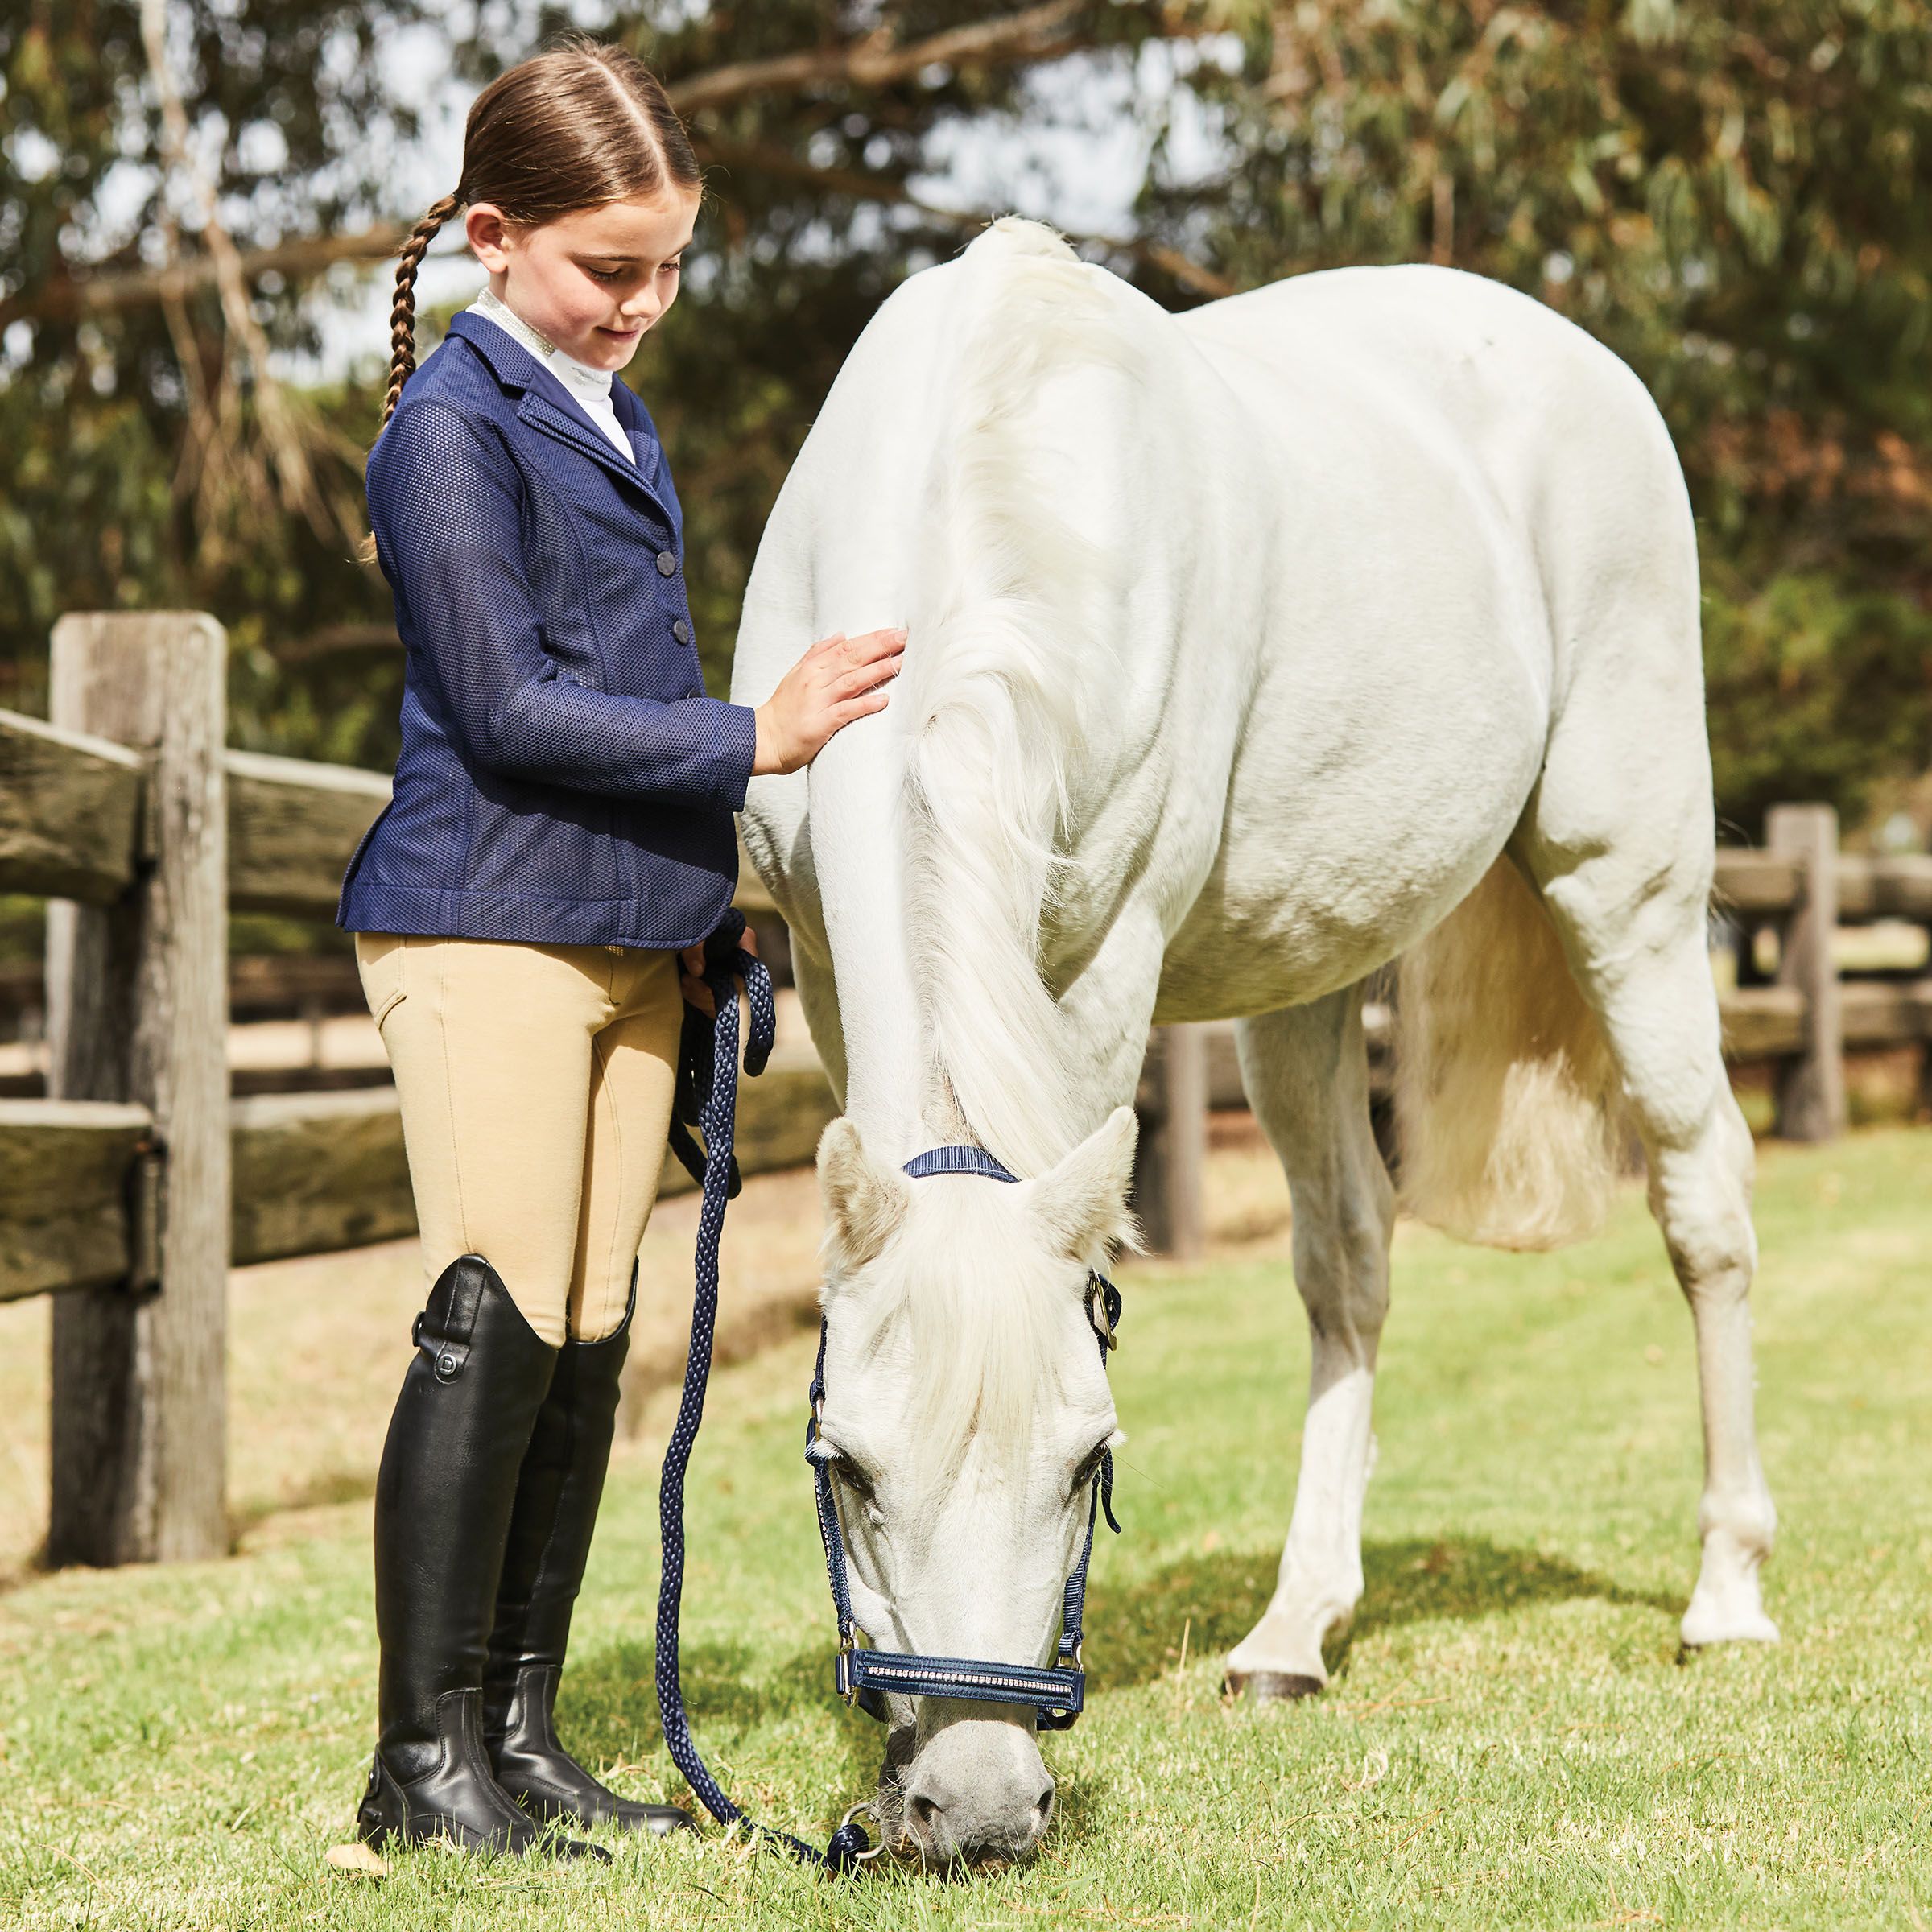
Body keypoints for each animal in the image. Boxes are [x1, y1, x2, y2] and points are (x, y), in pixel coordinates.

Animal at [728, 215, 1777, 1868]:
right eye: (848, 1472)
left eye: (1093, 1462)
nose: (980, 1806)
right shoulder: (826, 964)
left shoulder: (1107, 969)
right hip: (1309, 987)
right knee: (1350, 1260)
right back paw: (1294, 1634)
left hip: (1636, 897)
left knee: (1703, 1203)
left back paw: (1725, 1592)